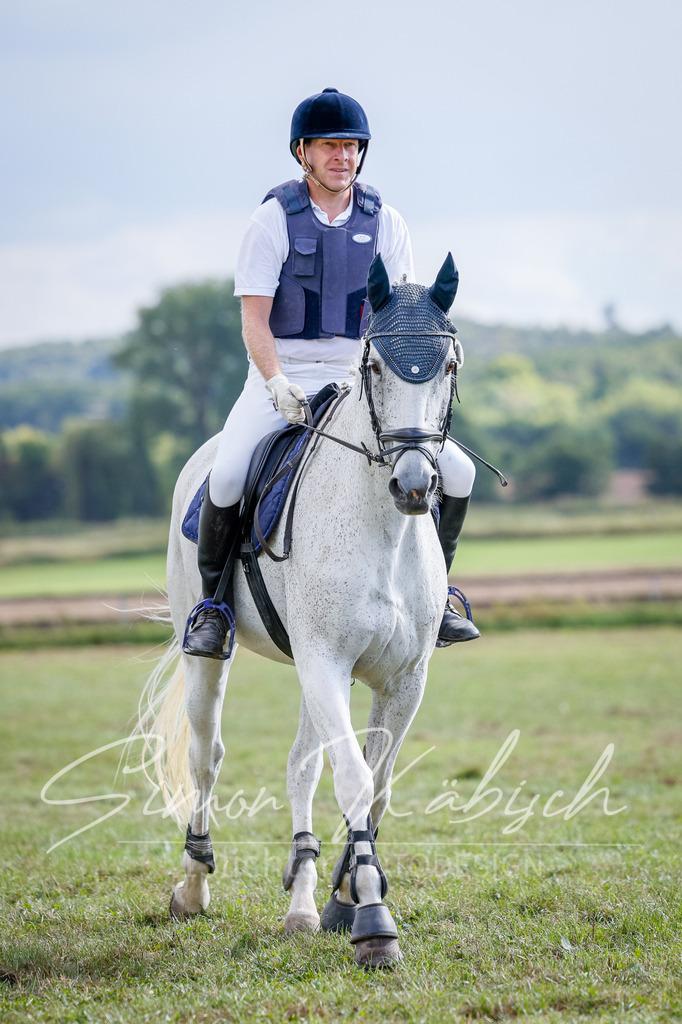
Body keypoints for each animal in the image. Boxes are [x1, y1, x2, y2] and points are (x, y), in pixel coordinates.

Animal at [134, 253, 463, 968]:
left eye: (448, 366)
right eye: (374, 366)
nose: (414, 485)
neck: (383, 530)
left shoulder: (404, 679)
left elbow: (377, 783)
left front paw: (344, 900)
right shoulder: (326, 661)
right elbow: (356, 781)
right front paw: (373, 924)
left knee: (299, 768)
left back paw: (303, 905)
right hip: (220, 656)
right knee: (206, 755)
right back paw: (193, 888)